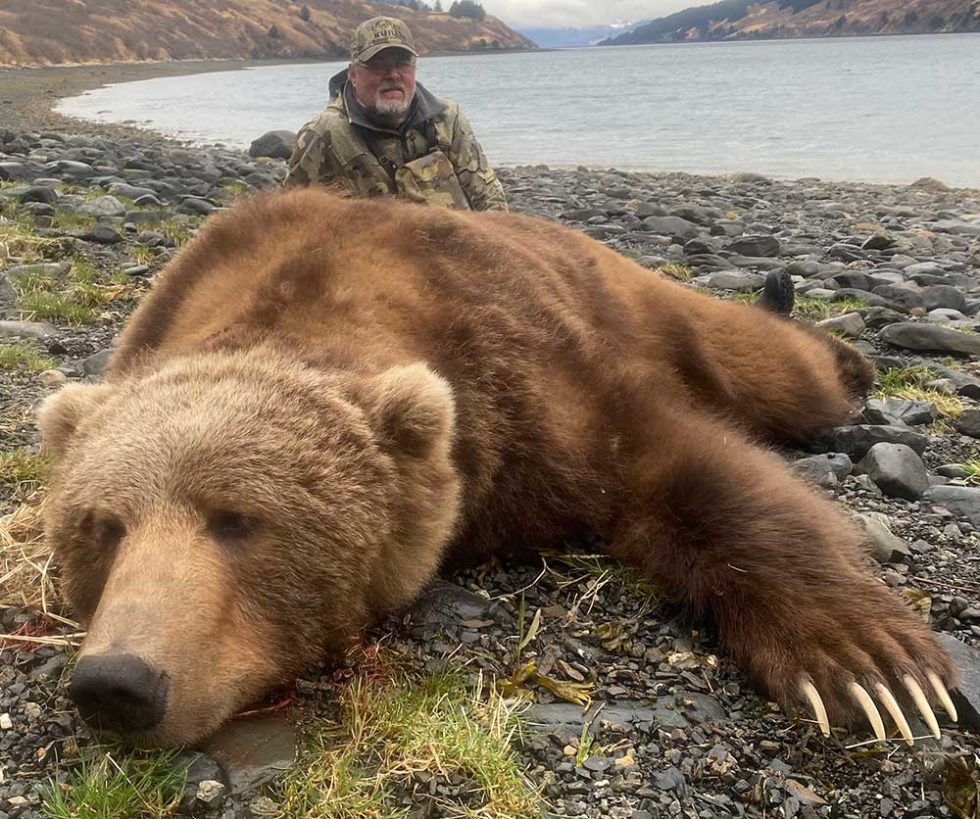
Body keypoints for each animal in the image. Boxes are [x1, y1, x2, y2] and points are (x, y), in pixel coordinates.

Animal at [40, 187, 956, 748]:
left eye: (237, 518)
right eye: (103, 527)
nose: (119, 680)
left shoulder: (537, 378)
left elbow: (688, 468)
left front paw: (873, 667)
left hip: (651, 306)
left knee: (775, 368)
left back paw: (832, 342)